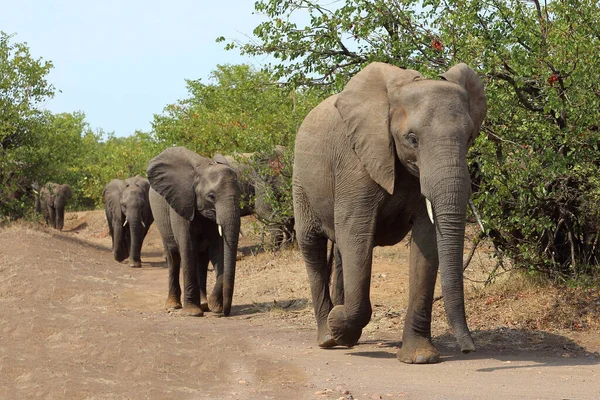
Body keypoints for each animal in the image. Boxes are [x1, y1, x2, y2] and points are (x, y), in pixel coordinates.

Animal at [148, 145, 241, 318]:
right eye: (211, 196)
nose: (225, 312)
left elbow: (219, 251)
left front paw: (214, 306)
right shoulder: (182, 202)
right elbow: (187, 247)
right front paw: (193, 313)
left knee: (202, 261)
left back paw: (204, 304)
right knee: (174, 258)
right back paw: (174, 305)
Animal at [292, 61, 486, 362]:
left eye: (469, 137)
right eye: (412, 139)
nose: (468, 349)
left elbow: (427, 242)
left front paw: (420, 358)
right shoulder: (355, 164)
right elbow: (357, 234)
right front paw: (338, 323)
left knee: (340, 251)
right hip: (301, 179)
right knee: (312, 244)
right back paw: (328, 338)